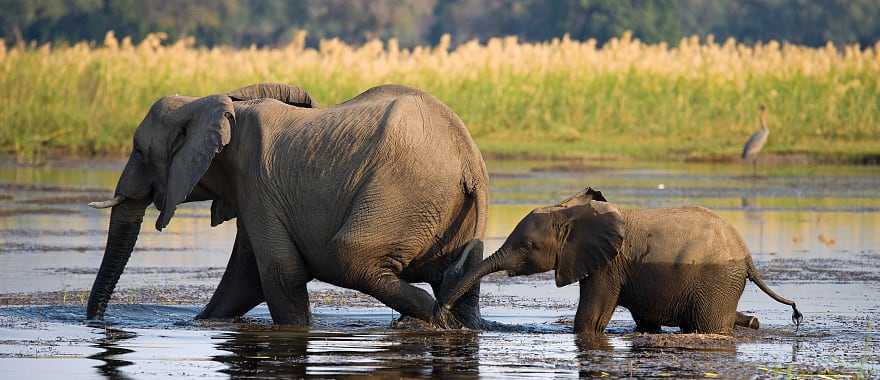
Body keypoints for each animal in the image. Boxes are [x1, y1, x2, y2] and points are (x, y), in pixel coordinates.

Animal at [86, 84, 488, 328]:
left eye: (140, 151)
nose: (97, 322)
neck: (206, 102)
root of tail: (469, 160)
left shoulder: (257, 182)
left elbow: (280, 271)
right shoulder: (251, 192)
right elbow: (244, 276)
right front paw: (200, 323)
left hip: (401, 192)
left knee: (351, 257)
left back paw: (436, 321)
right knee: (457, 282)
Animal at [436, 188, 800, 336]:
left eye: (527, 245)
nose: (442, 314)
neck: (571, 214)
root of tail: (747, 256)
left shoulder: (607, 267)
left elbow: (591, 320)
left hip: (717, 279)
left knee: (707, 326)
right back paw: (752, 322)